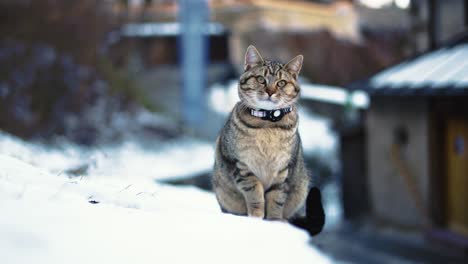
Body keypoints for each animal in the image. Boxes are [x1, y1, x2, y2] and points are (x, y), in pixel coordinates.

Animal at [213, 45, 310, 221]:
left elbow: (276, 199)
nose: (270, 91)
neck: (267, 125)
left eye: (281, 83)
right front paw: (256, 218)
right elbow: (255, 195)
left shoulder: (283, 170)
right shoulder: (242, 166)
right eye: (260, 79)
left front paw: (274, 221)